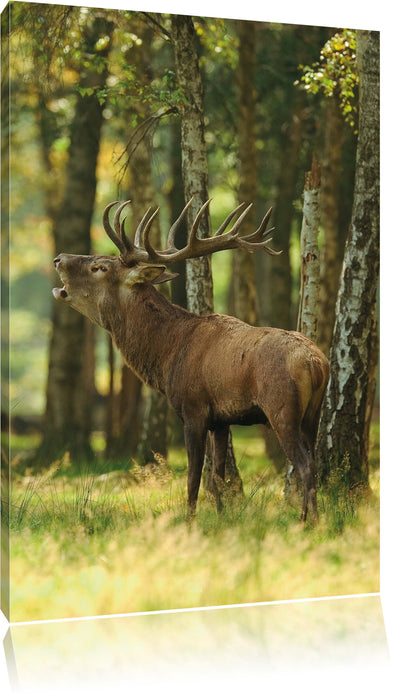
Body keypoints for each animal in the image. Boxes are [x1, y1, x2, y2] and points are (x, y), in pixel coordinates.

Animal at [53, 199, 330, 524]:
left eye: (100, 267)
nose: (58, 258)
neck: (167, 355)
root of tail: (316, 364)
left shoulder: (192, 408)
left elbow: (193, 477)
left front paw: (189, 521)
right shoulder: (222, 420)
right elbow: (218, 477)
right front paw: (221, 518)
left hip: (282, 409)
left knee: (305, 464)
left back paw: (308, 522)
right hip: (313, 414)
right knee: (314, 460)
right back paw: (311, 517)